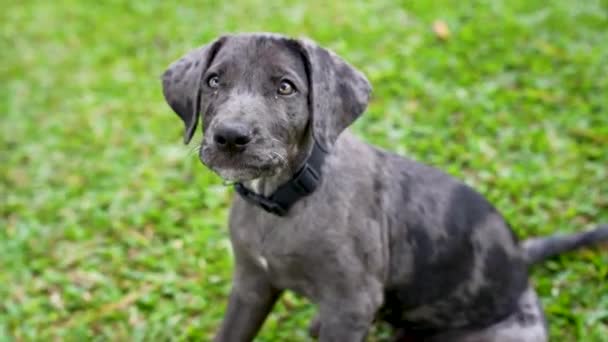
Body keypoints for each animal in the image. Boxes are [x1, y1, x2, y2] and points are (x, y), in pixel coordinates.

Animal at [160, 32, 608, 342]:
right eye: (213, 81)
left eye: (285, 87)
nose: (230, 138)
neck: (282, 199)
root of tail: (521, 260)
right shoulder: (251, 285)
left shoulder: (351, 305)